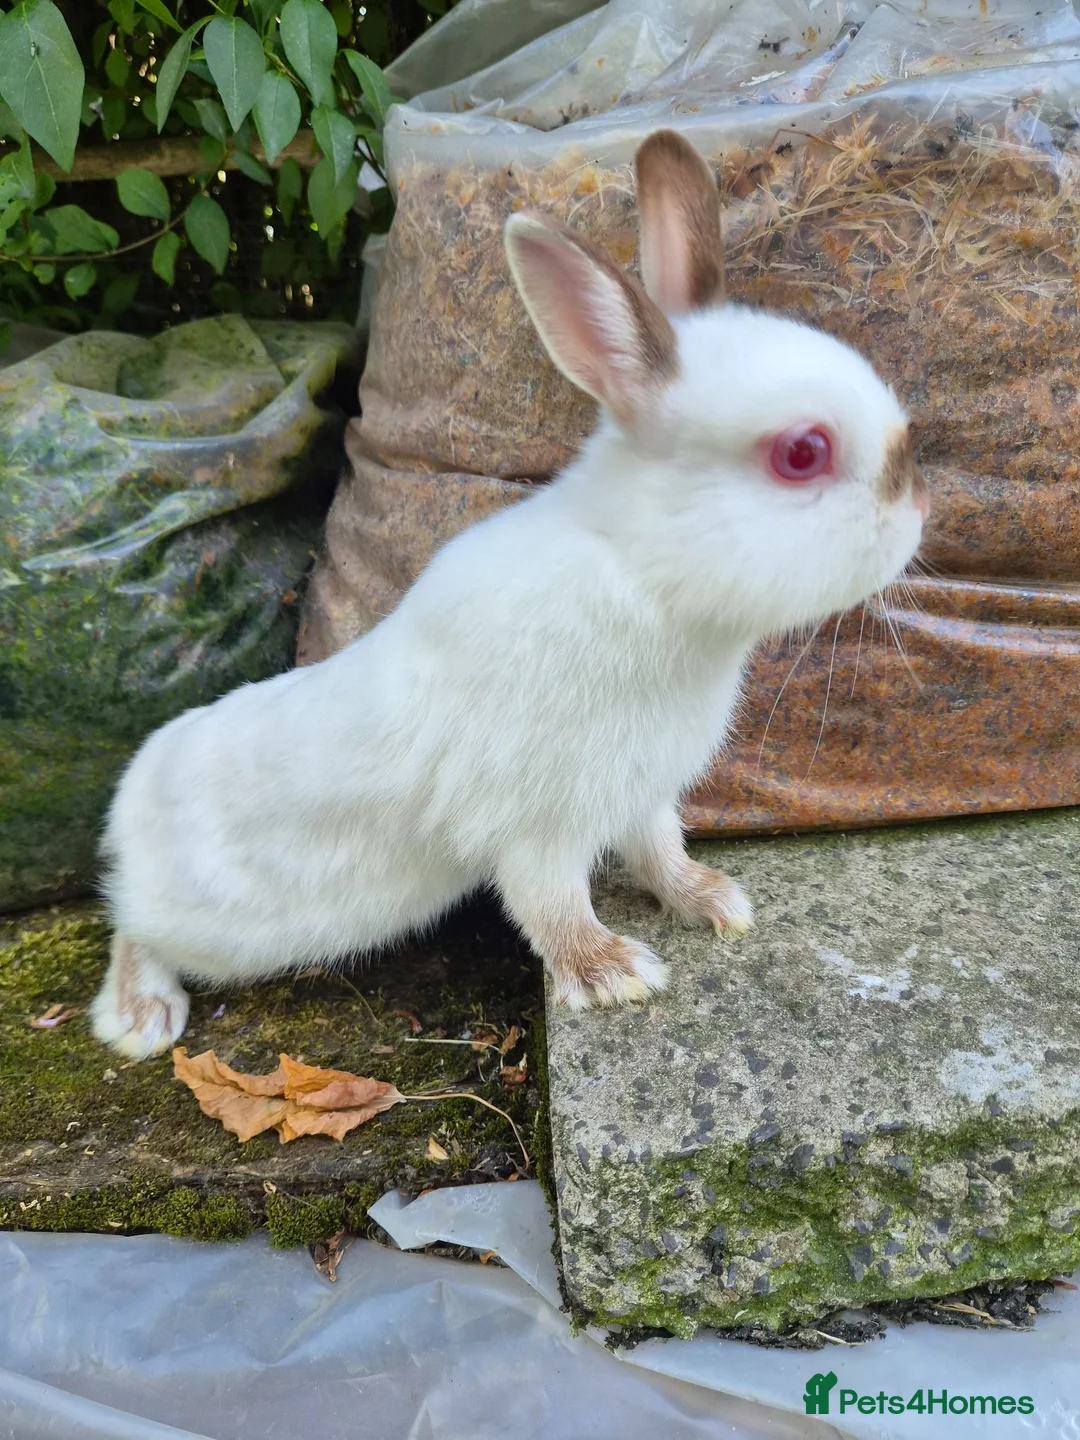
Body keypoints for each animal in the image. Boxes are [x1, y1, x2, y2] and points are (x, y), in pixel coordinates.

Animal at [91, 129, 928, 1059]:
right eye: (802, 453)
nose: (918, 512)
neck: (645, 580)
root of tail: (126, 805)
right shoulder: (538, 824)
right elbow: (549, 904)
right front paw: (614, 974)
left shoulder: (642, 795)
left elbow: (660, 854)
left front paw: (715, 901)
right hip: (209, 929)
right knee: (130, 930)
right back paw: (139, 1019)